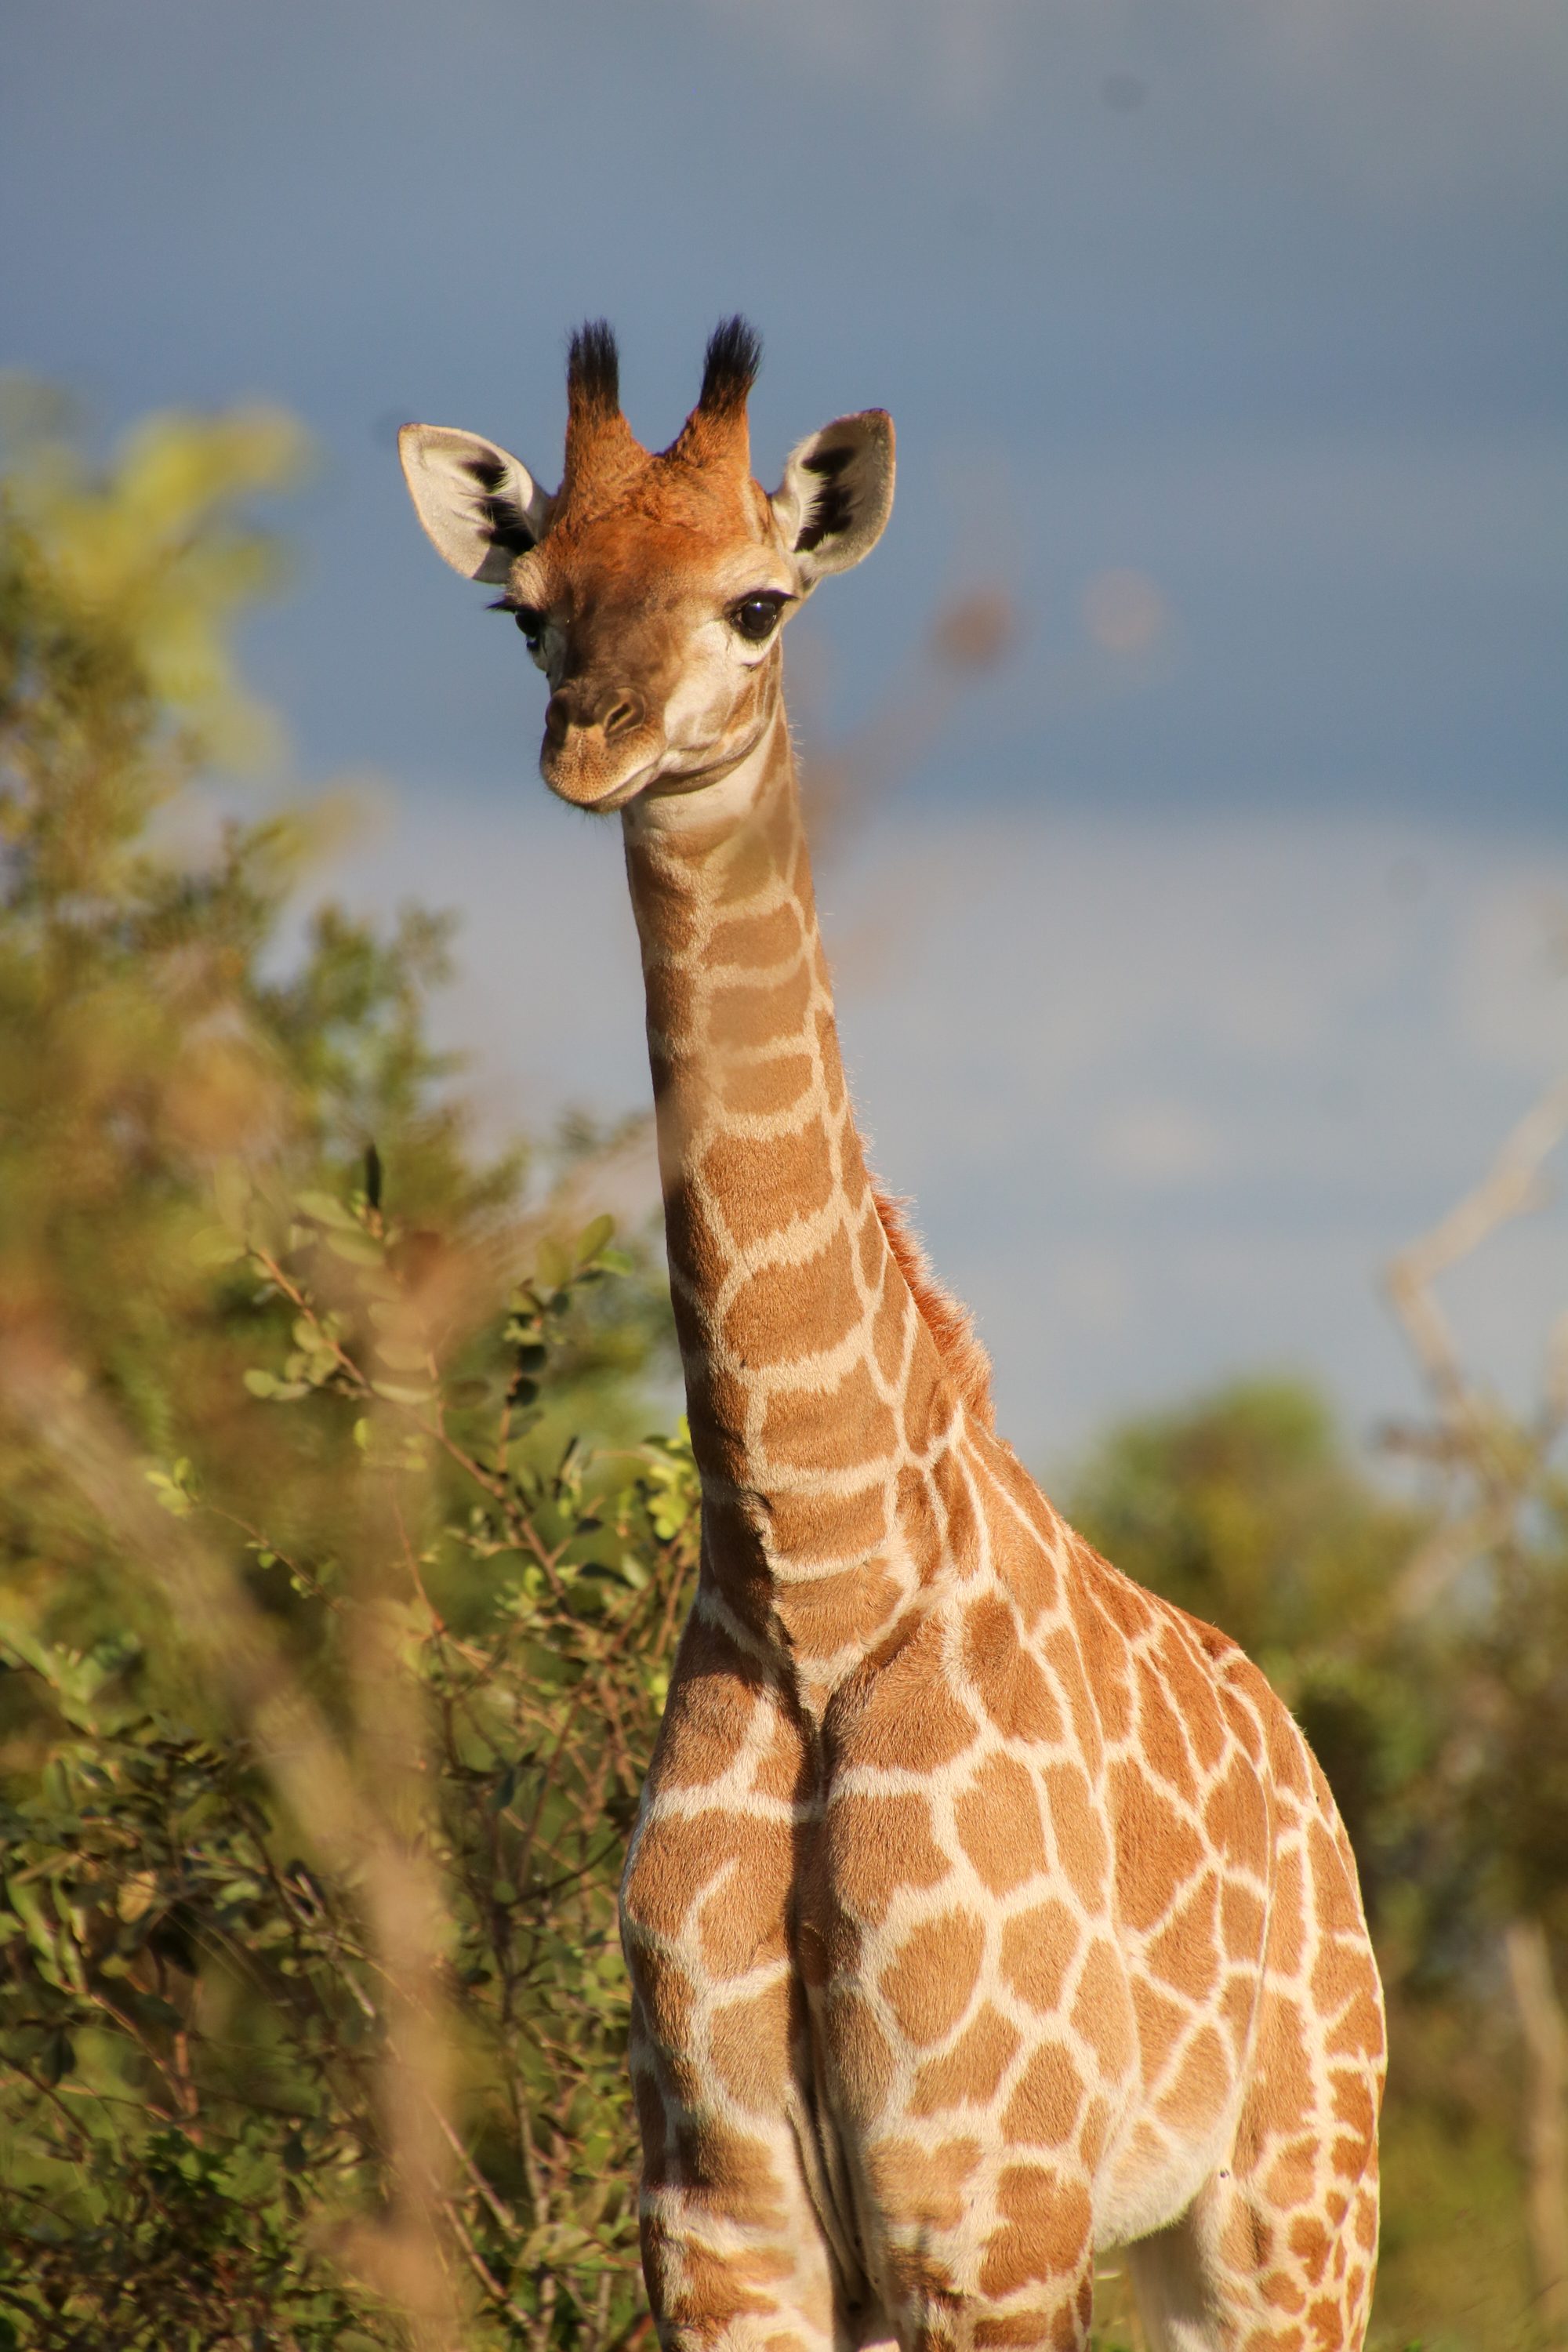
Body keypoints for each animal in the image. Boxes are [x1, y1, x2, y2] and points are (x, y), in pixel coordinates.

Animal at [398, 320, 1385, 2352]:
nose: (593, 740)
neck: (814, 1581)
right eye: (525, 607)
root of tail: (1315, 1787)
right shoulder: (725, 2213)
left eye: (758, 599)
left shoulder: (985, 2211)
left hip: (1291, 2204)